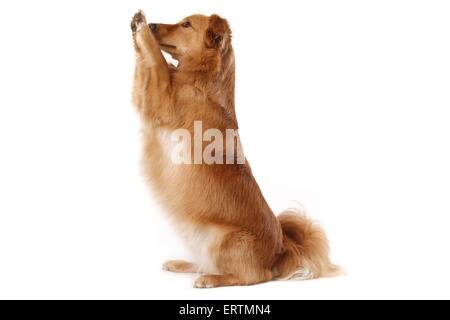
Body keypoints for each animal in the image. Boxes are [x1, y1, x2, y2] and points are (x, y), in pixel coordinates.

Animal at [128, 11, 340, 288]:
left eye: (186, 24)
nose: (153, 25)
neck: (203, 79)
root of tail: (281, 249)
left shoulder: (162, 100)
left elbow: (157, 62)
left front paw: (142, 28)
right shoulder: (146, 96)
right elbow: (147, 67)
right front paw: (137, 27)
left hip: (224, 239)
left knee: (251, 276)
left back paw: (211, 279)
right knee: (206, 262)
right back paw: (182, 264)